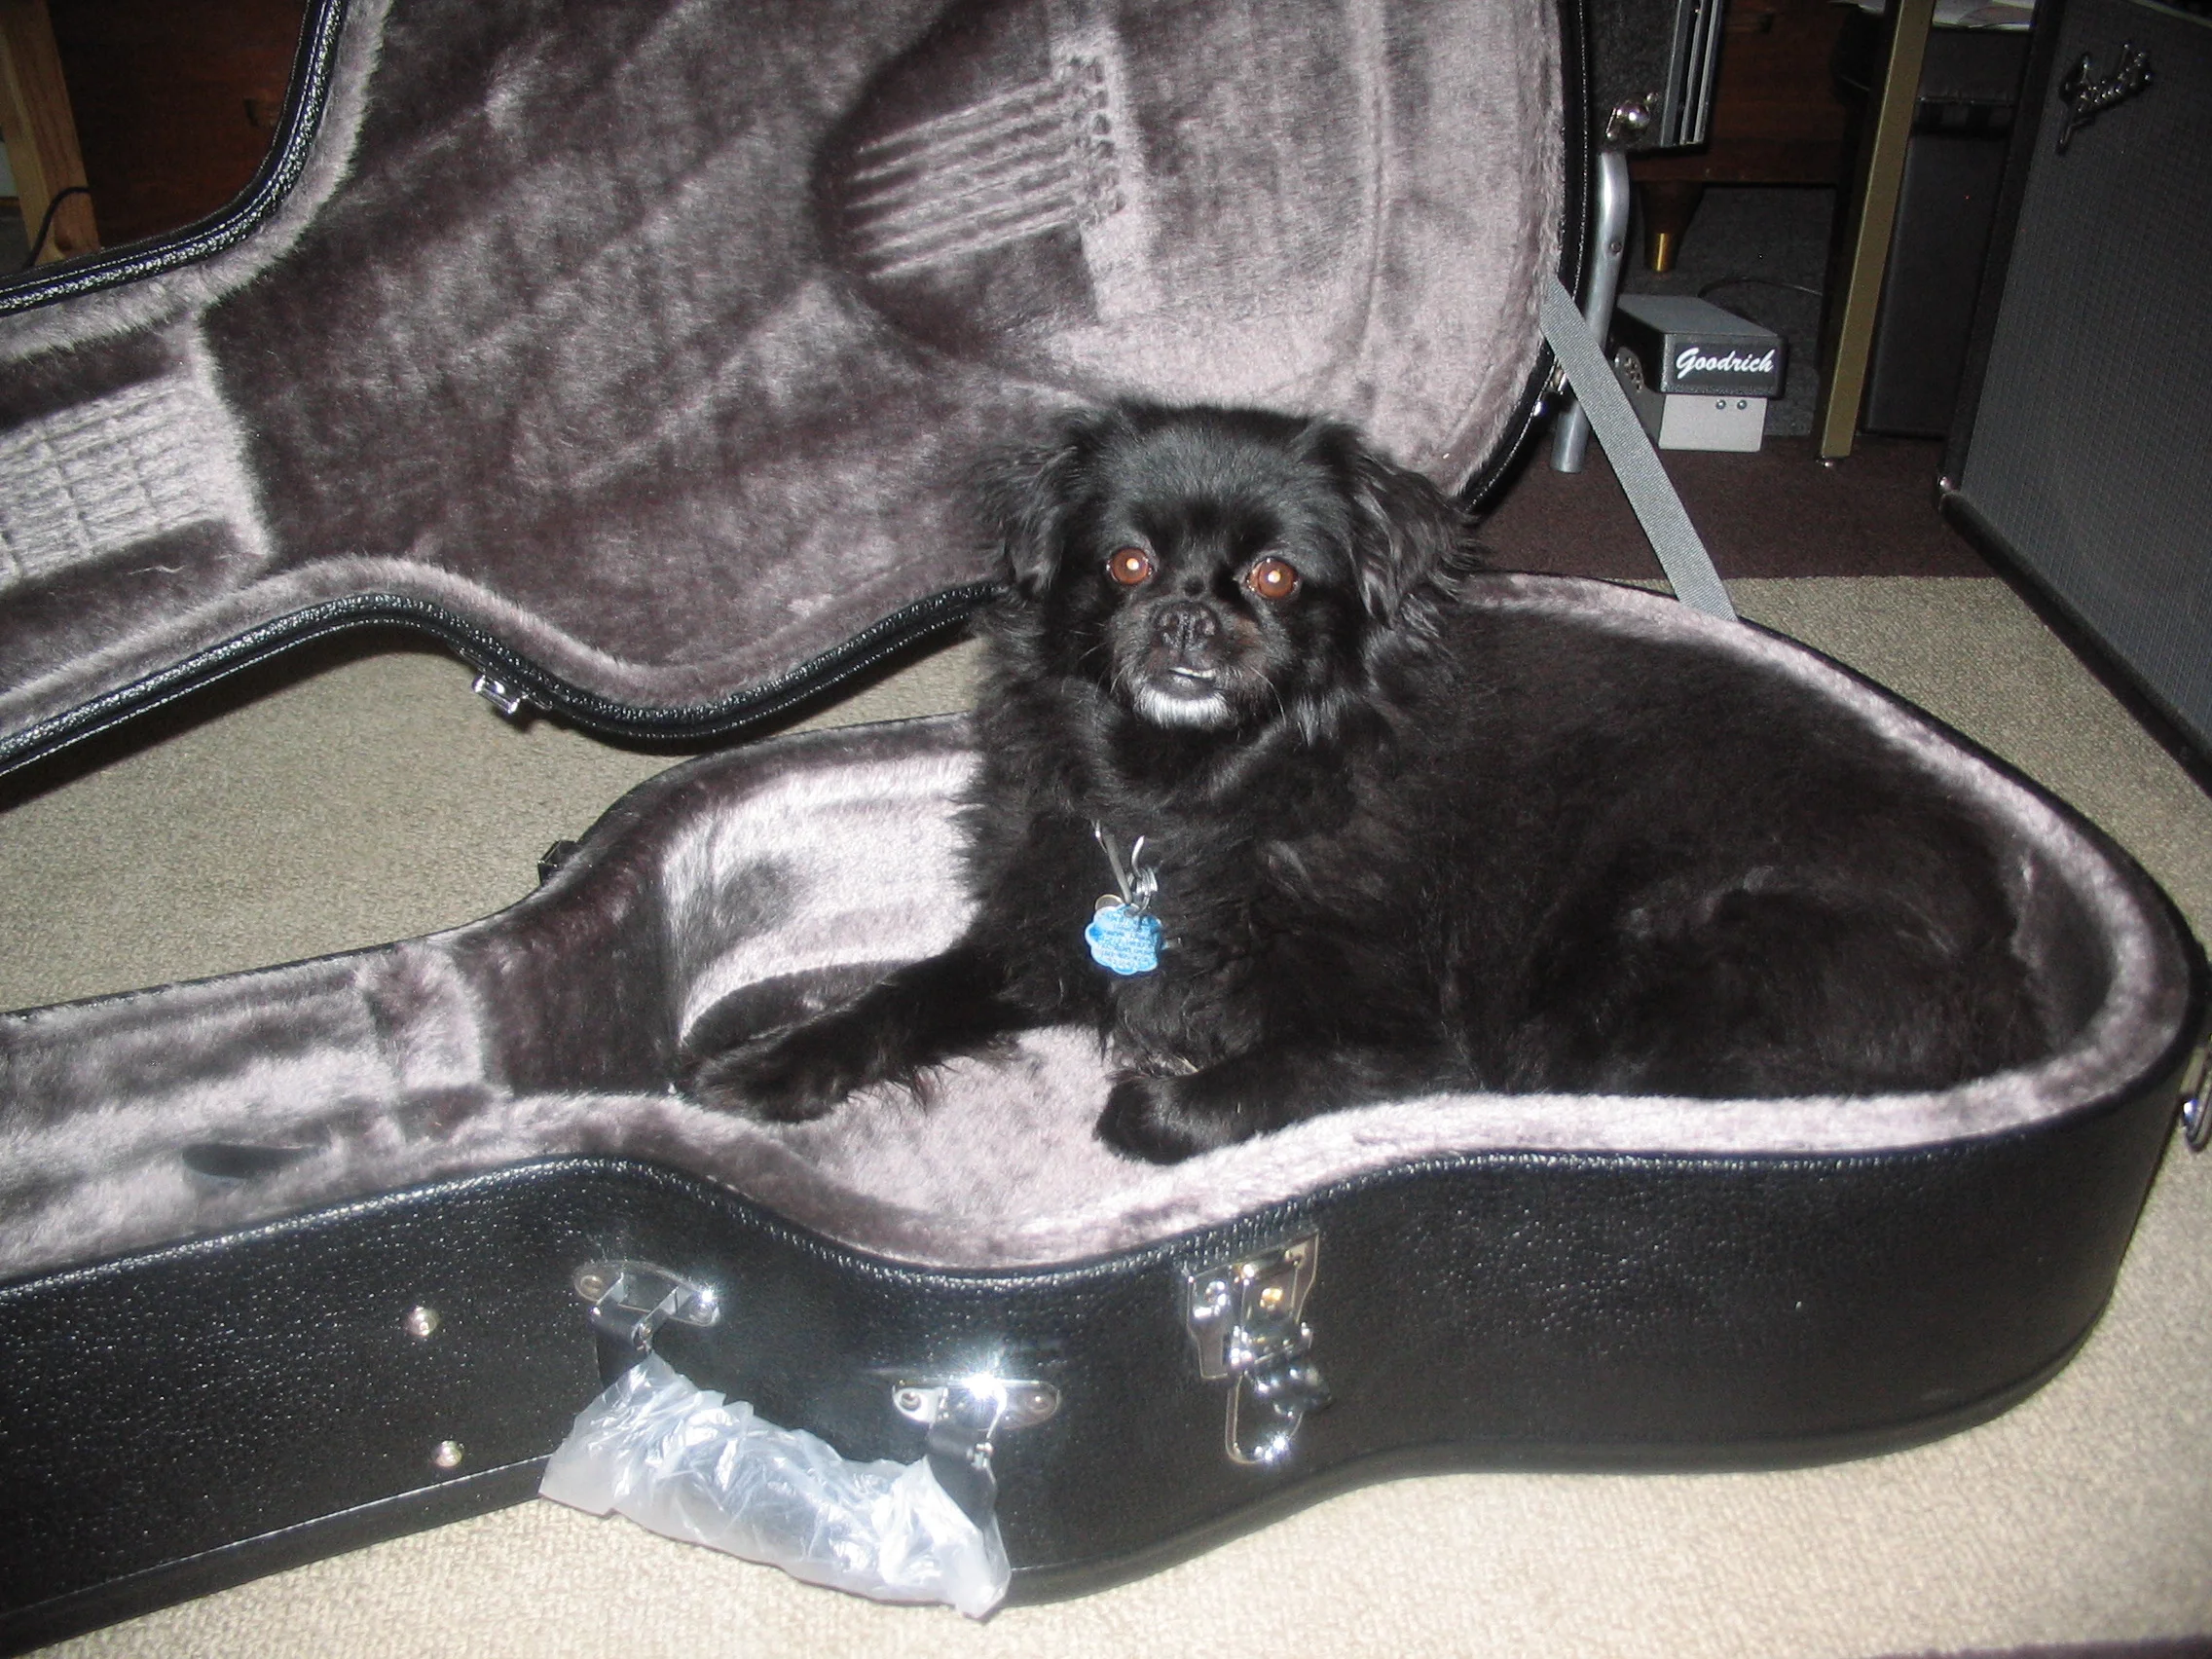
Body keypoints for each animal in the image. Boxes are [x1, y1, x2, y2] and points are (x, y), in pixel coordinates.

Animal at [683, 402, 2047, 1161]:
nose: (1188, 618)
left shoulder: (1409, 1045)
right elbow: (904, 995)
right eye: (1125, 564)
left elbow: (1195, 1096)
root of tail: (2005, 959)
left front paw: (1154, 1090)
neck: (1194, 797)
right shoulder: (1039, 934)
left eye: (1277, 578)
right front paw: (779, 1063)